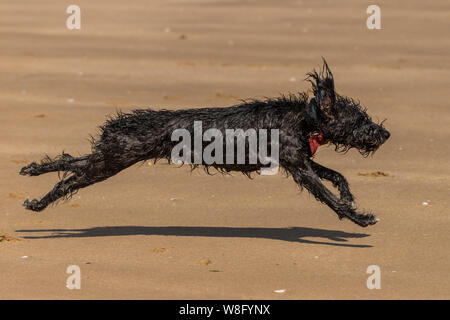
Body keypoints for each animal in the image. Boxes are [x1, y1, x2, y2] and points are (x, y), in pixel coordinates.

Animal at [19, 58, 388, 226]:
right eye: (359, 120)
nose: (385, 134)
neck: (305, 119)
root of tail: (118, 124)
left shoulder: (302, 160)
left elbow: (338, 177)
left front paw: (350, 196)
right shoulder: (300, 168)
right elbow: (328, 197)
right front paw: (358, 217)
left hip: (110, 156)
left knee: (71, 164)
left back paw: (33, 182)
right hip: (114, 159)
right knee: (71, 176)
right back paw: (37, 194)